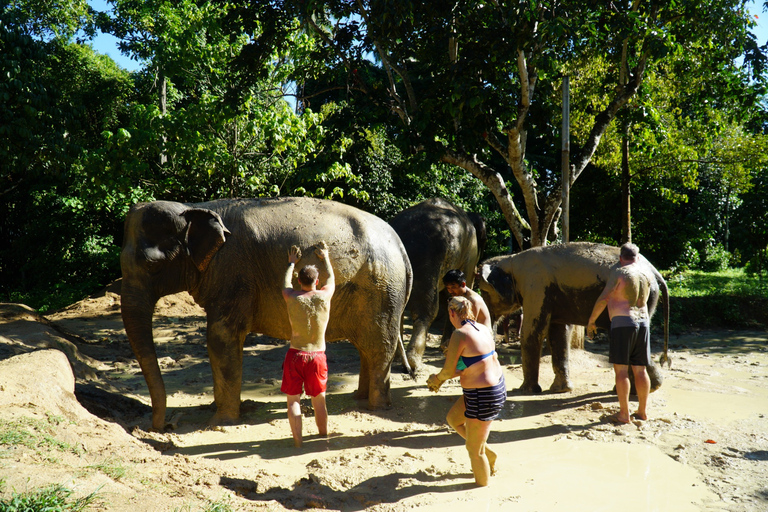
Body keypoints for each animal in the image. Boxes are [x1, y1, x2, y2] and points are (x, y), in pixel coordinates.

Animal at [120, 197, 412, 431]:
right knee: (367, 347)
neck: (194, 206)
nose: (162, 427)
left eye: (151, 264)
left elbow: (220, 337)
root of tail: (400, 243)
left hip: (382, 292)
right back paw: (359, 398)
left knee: (379, 346)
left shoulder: (233, 273)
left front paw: (220, 422)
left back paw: (375, 407)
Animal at [476, 242, 669, 394]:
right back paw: (645, 388)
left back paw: (642, 389)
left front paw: (525, 391)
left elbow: (534, 331)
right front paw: (561, 390)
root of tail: (654, 270)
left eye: (484, 293)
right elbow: (559, 333)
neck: (511, 259)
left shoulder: (536, 286)